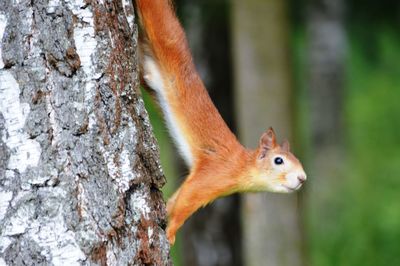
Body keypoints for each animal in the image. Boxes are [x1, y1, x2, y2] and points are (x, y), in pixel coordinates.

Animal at [134, 0, 306, 245]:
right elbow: (184, 203)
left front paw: (165, 213)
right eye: (278, 160)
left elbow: (175, 200)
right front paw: (170, 233)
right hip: (159, 35)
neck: (241, 166)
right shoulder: (212, 176)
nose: (303, 178)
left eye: (298, 160)